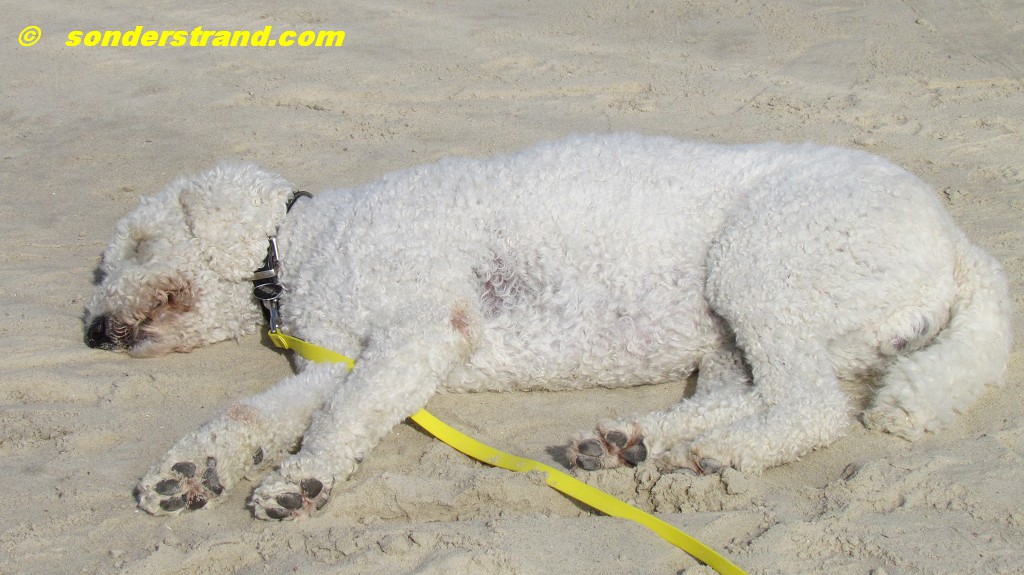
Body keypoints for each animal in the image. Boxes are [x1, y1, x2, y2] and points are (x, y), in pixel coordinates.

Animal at [85, 134, 1012, 520]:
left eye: (134, 245)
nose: (91, 329)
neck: (306, 241)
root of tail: (955, 242)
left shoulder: (418, 334)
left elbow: (341, 420)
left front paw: (297, 481)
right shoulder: (337, 356)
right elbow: (251, 414)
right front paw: (189, 473)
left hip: (761, 263)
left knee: (809, 405)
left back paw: (717, 456)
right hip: (731, 327)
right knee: (746, 392)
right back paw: (630, 442)